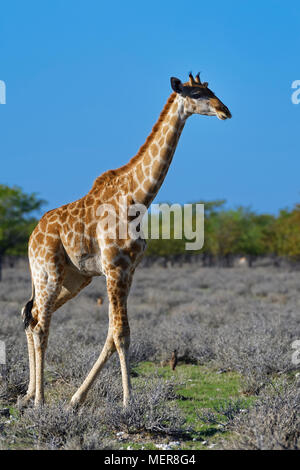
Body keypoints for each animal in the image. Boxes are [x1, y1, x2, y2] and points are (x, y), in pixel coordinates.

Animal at [19, 72, 232, 408]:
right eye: (197, 93)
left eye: (211, 89)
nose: (225, 110)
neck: (138, 198)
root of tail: (32, 236)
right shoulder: (114, 269)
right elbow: (121, 333)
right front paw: (128, 402)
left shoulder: (129, 271)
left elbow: (113, 334)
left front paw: (77, 399)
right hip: (48, 272)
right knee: (39, 324)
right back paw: (39, 400)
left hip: (75, 279)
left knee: (32, 315)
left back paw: (28, 394)